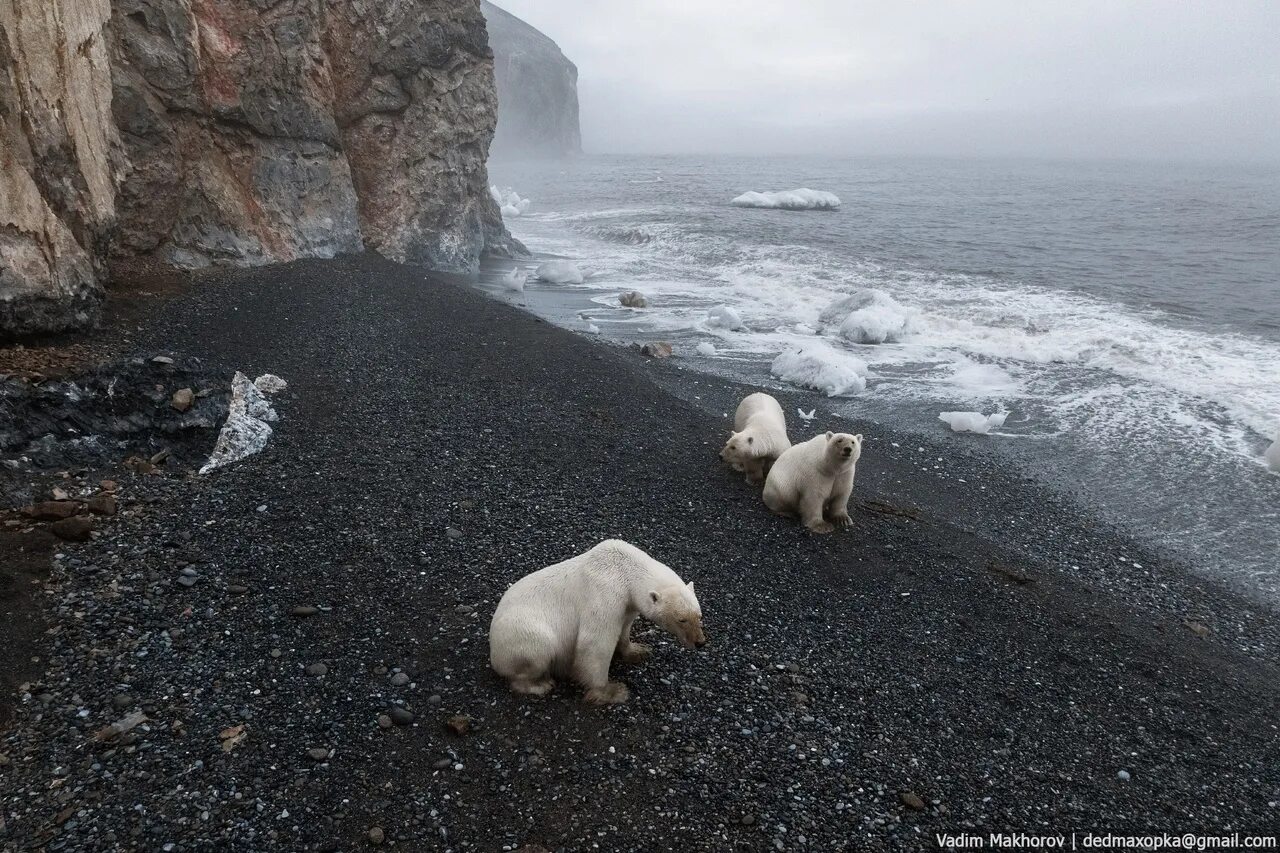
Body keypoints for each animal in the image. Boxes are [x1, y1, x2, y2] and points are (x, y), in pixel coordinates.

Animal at [488, 540, 711, 701]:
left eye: (699, 616)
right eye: (682, 620)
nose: (700, 642)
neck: (624, 569)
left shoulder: (627, 605)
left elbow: (625, 628)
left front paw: (638, 650)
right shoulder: (605, 593)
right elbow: (595, 643)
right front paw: (612, 691)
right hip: (522, 636)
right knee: (538, 649)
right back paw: (539, 685)